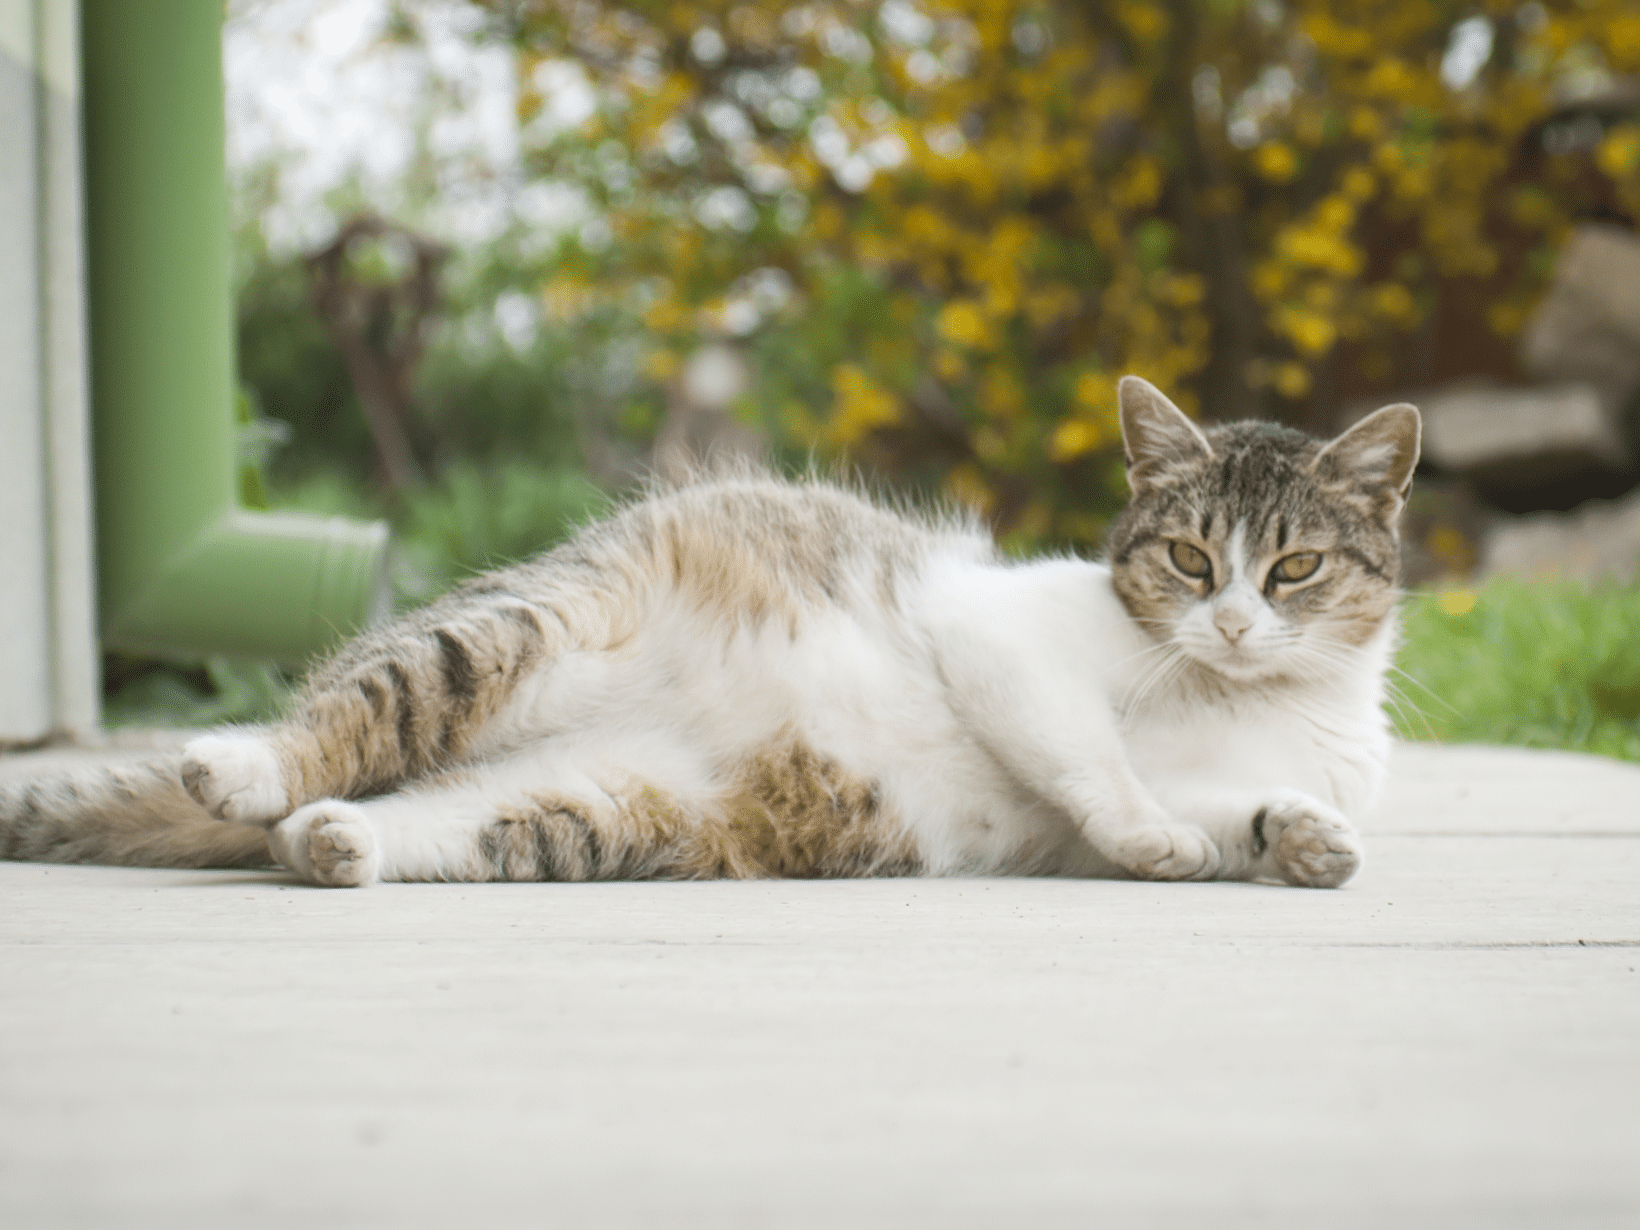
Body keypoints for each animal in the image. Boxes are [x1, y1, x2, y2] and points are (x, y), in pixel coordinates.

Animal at [0, 375, 1416, 885]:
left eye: (1292, 567)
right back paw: (245, 766)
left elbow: (1238, 812)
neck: (1235, 699)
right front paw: (1156, 830)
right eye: (1189, 558)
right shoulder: (1001, 640)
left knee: (404, 818)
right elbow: (1094, 762)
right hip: (516, 633)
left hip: (587, 808)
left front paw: (1303, 841)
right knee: (342, 719)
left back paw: (336, 844)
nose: (1230, 622)